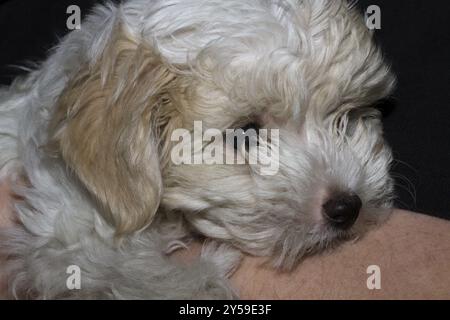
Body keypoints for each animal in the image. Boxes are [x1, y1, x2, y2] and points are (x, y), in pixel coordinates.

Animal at [0, 0, 394, 300]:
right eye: (245, 135)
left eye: (346, 116)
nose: (348, 206)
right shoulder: (69, 239)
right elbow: (136, 276)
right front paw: (208, 274)